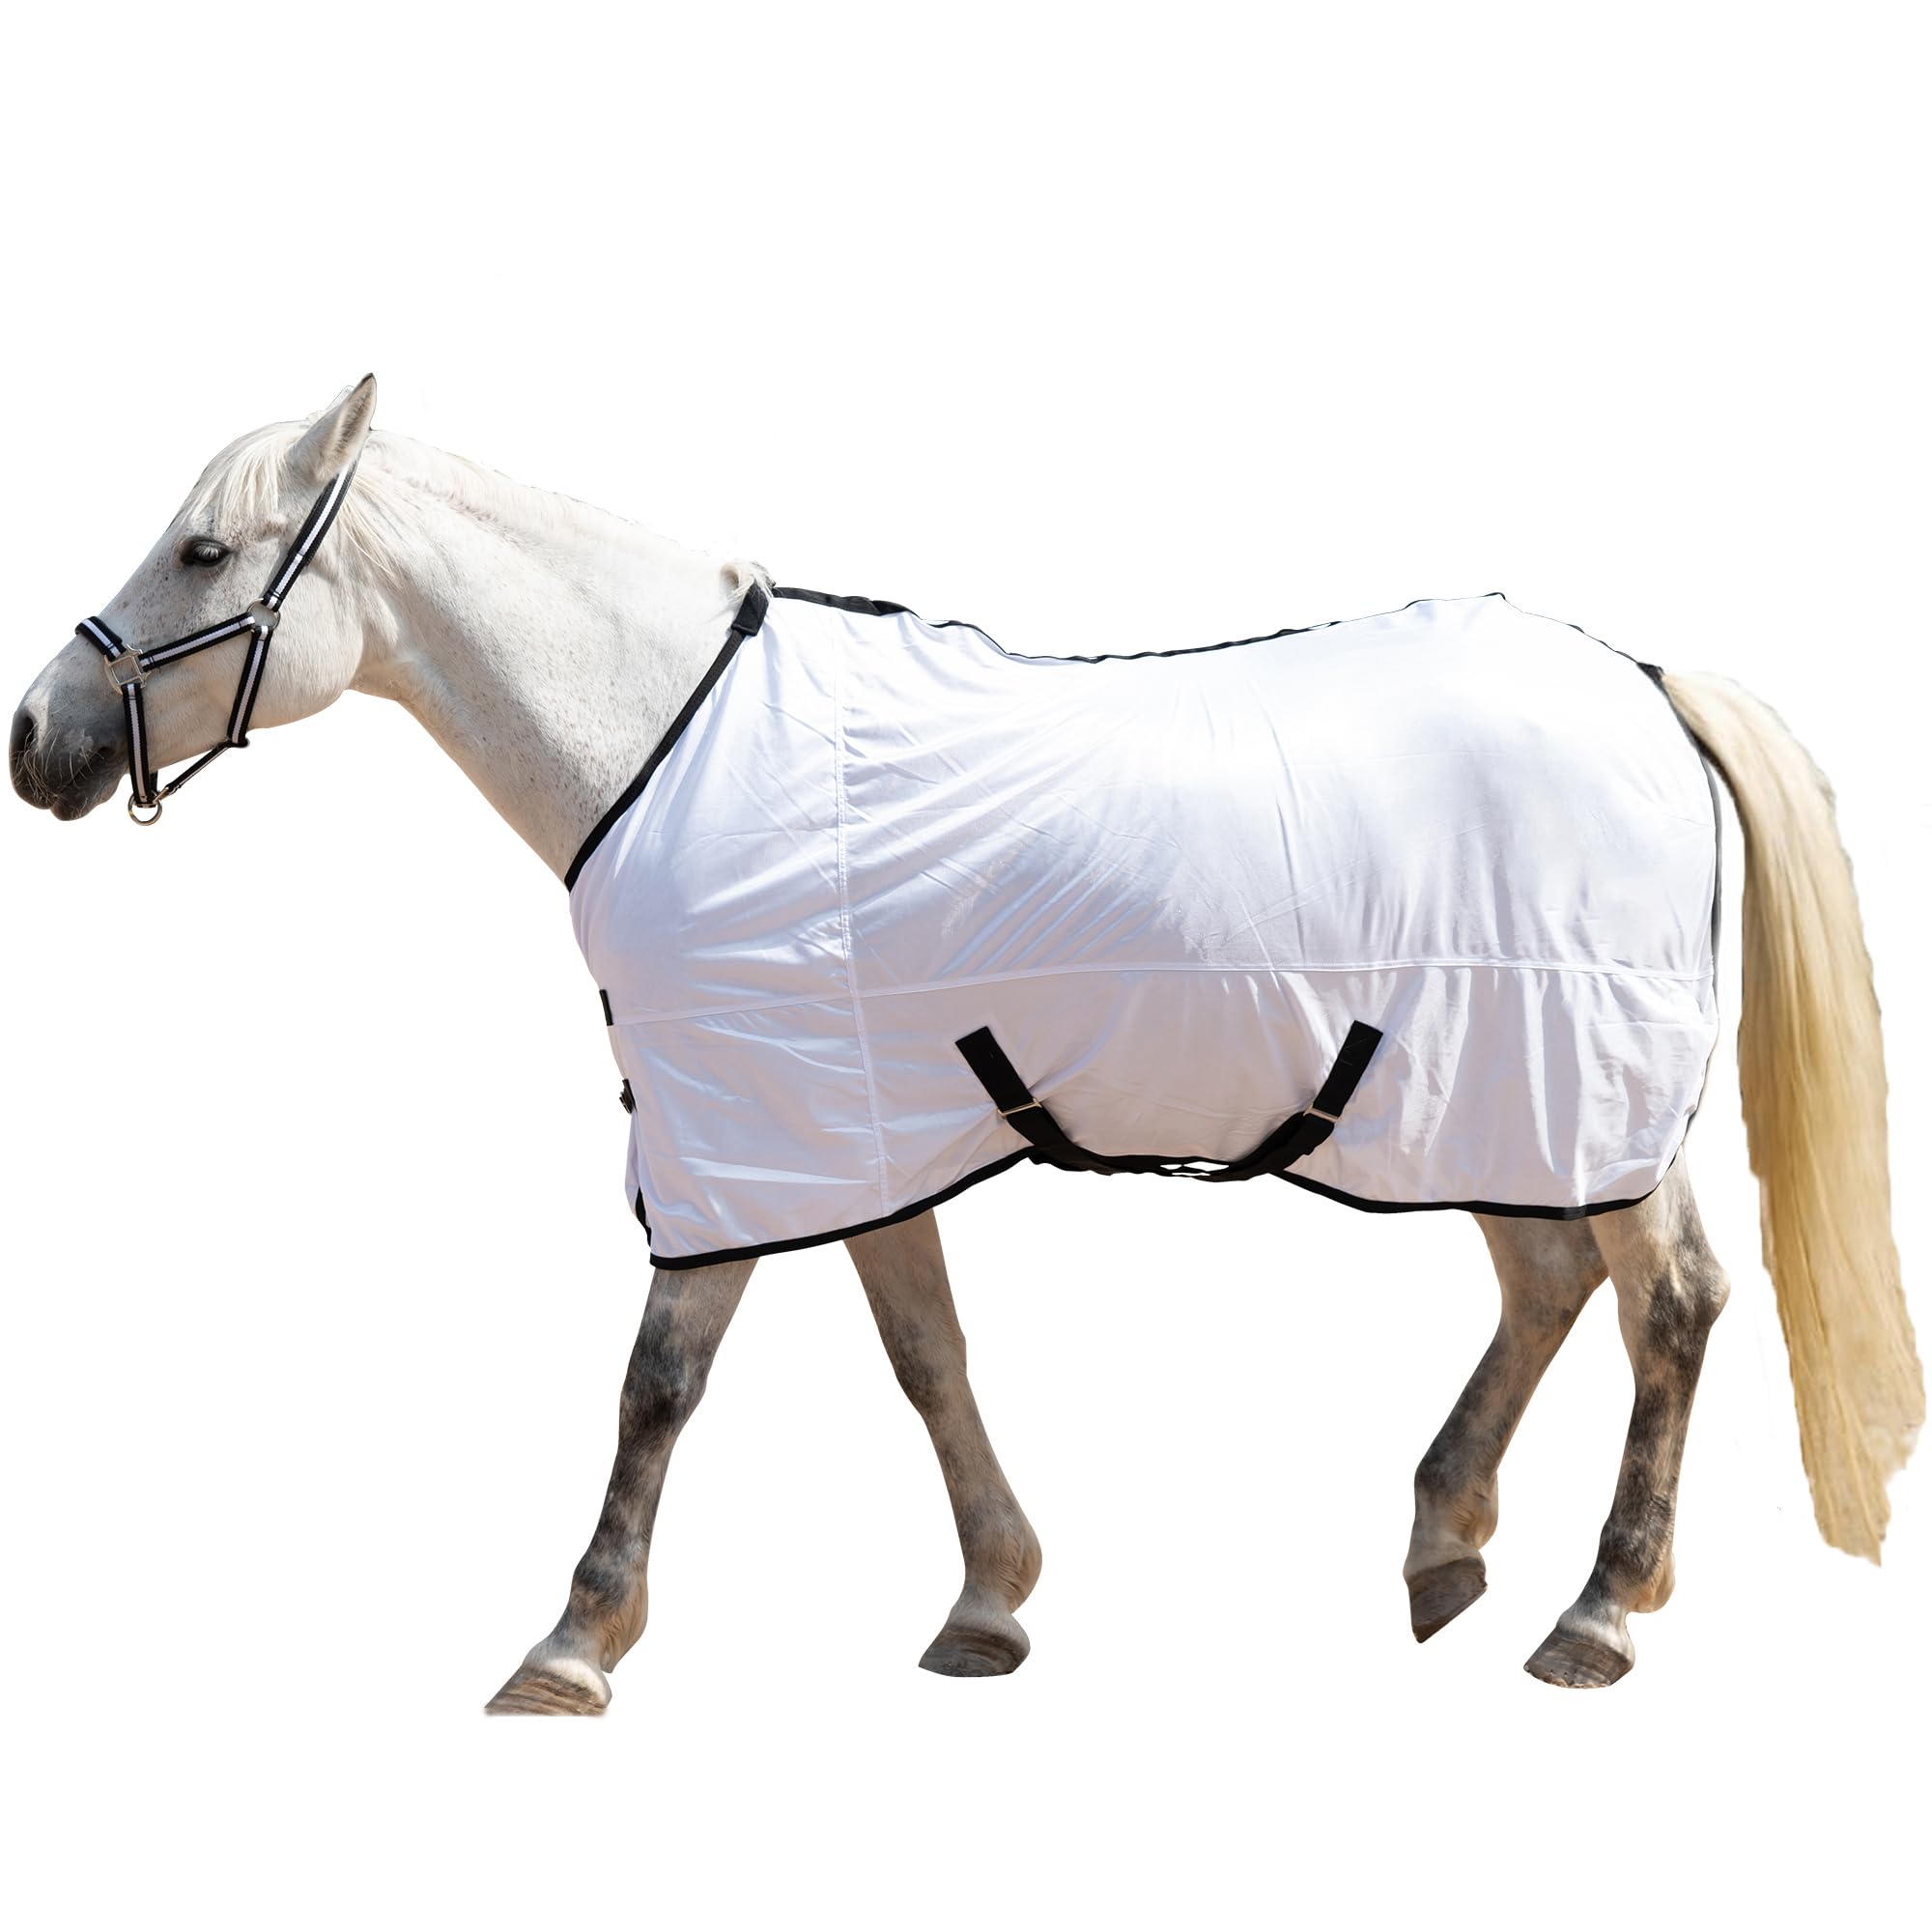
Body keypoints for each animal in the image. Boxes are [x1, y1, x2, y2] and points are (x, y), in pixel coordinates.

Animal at [11, 377, 1920, 1712]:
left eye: (202, 554)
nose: (38, 738)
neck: (673, 740)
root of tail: (1645, 686)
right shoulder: (851, 1136)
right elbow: (927, 1361)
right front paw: (990, 1602)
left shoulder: (738, 1139)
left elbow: (657, 1384)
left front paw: (573, 1643)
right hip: (1492, 1104)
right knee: (1551, 1288)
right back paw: (1446, 1549)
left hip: (1575, 1099)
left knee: (1669, 1306)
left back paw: (1598, 1615)